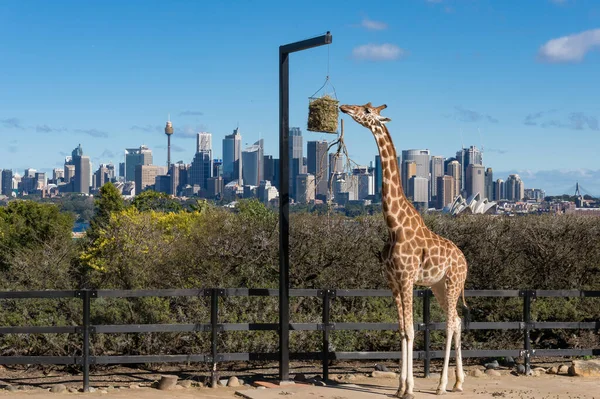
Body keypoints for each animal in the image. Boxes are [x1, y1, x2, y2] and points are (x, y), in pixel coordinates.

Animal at [340, 103, 472, 399]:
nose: (345, 107)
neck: (394, 224)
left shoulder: (407, 278)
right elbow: (401, 329)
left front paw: (409, 388)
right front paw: (400, 387)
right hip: (438, 286)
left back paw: (441, 384)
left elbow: (411, 330)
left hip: (452, 282)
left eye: (367, 110)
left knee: (450, 324)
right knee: (458, 321)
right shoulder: (392, 280)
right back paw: (458, 382)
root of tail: (465, 261)